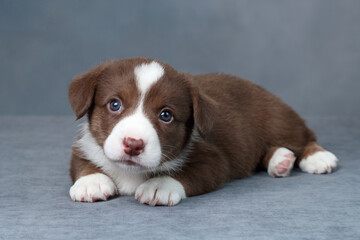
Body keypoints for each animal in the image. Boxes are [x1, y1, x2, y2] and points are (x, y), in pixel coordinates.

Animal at [67, 58, 338, 206]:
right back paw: (280, 161)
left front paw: (159, 186)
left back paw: (317, 157)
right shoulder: (83, 145)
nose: (133, 144)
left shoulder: (214, 159)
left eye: (166, 115)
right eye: (115, 105)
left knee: (305, 137)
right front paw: (92, 182)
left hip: (279, 120)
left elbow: (187, 172)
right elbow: (82, 163)